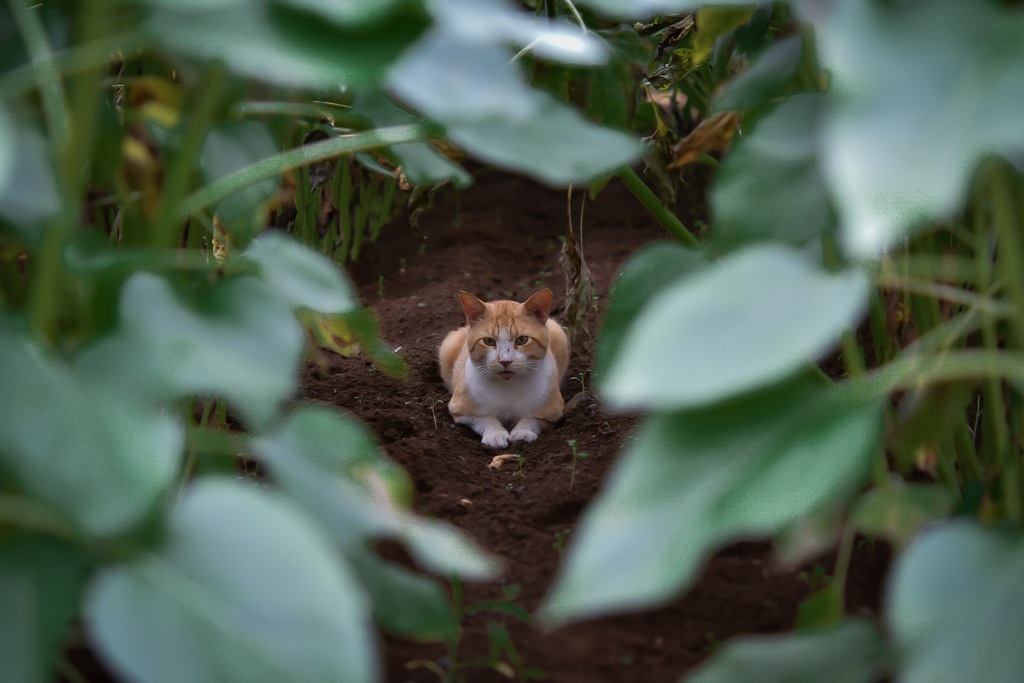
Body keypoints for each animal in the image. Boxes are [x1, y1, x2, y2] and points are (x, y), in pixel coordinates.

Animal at [438, 288, 573, 448]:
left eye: (522, 340)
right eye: (489, 341)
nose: (505, 361)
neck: (508, 386)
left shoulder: (553, 413)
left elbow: (532, 419)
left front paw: (523, 432)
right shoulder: (460, 410)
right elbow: (485, 418)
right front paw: (495, 434)